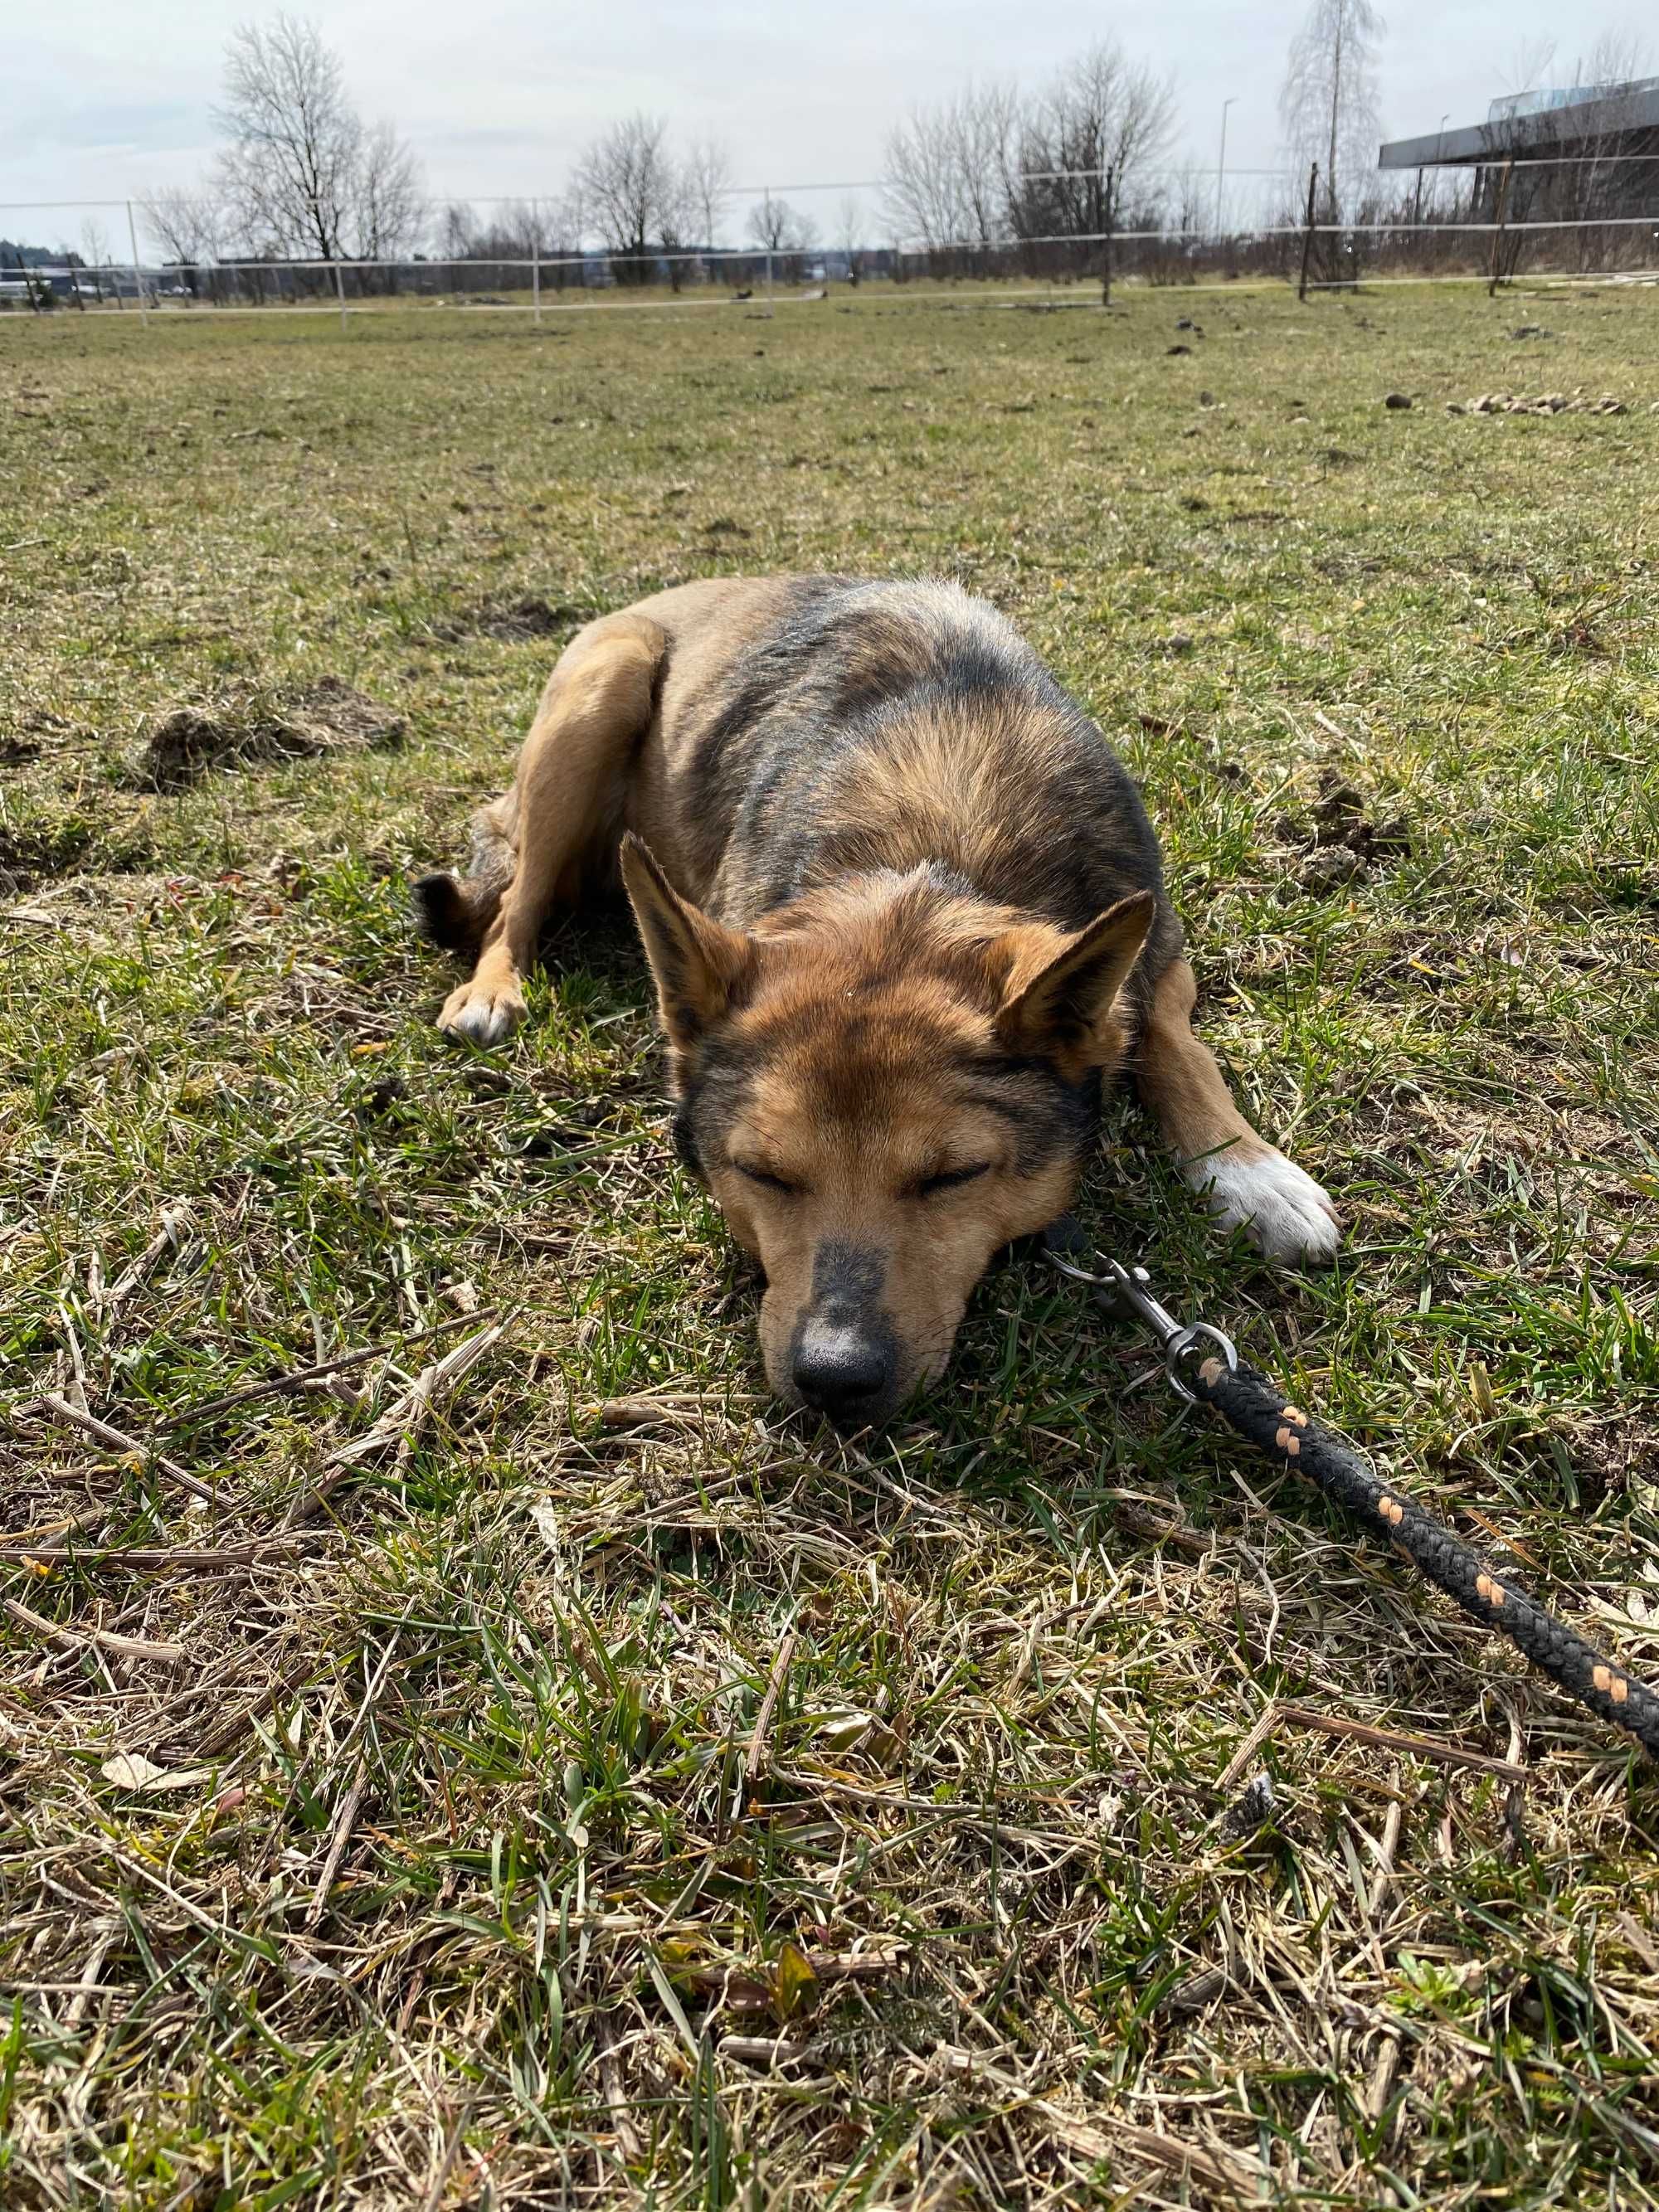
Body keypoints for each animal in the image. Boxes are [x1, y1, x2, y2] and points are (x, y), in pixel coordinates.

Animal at [416, 579, 1335, 1424]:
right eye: (763, 1174)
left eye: (953, 1175)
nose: (835, 1379)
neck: (931, 854)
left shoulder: (1161, 955)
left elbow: (1174, 1044)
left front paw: (1250, 1172)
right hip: (600, 692)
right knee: (515, 902)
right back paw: (492, 989)